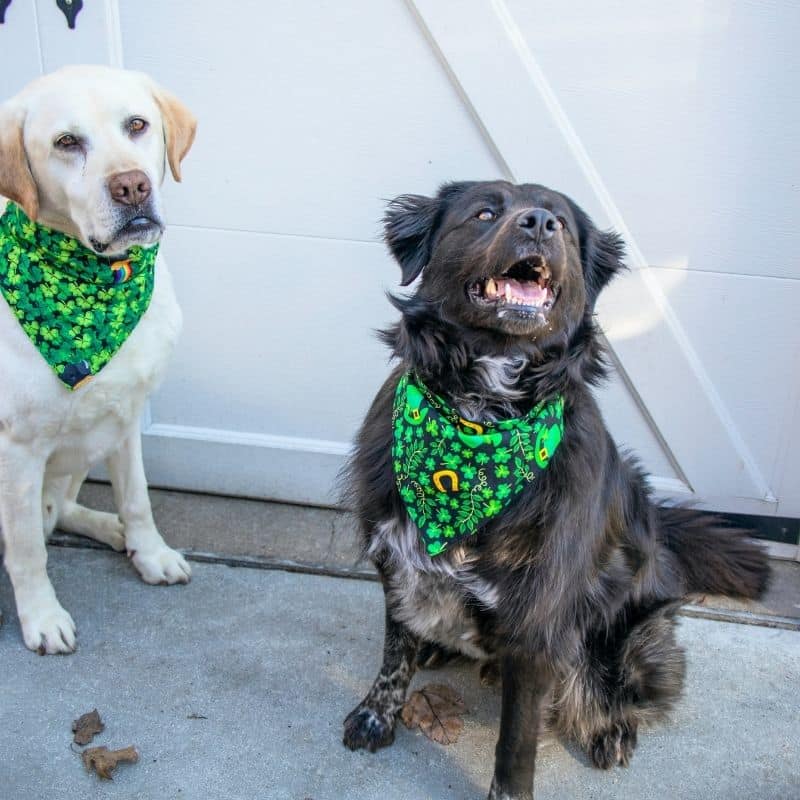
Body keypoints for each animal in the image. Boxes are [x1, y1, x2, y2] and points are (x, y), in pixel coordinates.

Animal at [0, 65, 197, 652]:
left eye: (137, 125)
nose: (132, 185)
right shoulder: (16, 450)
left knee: (60, 509)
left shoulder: (125, 418)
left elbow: (137, 498)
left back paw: (112, 531)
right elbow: (26, 549)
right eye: (67, 142)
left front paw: (148, 553)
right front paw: (41, 617)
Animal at [342, 181, 768, 800]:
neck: (480, 415)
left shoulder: (538, 623)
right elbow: (393, 653)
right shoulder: (398, 562)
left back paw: (611, 728)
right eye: (484, 213)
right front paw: (377, 715)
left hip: (631, 637)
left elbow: (517, 739)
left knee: (610, 687)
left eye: (562, 224)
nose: (539, 222)